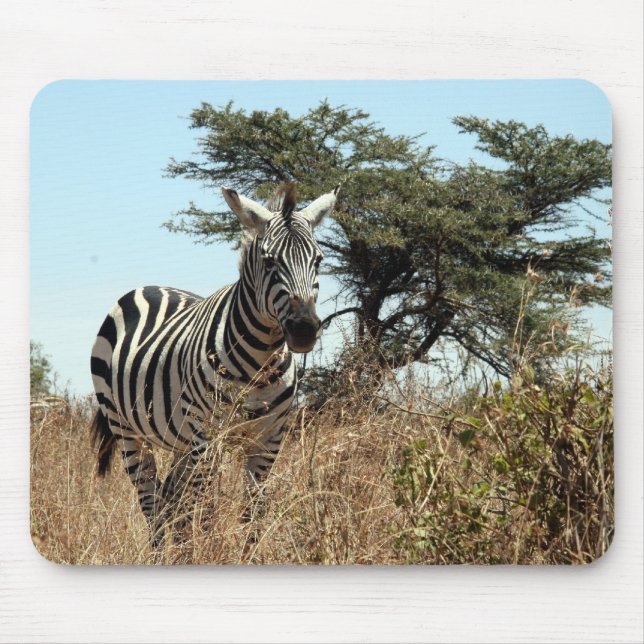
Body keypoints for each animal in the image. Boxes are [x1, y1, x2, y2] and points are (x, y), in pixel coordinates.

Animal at [90, 182, 338, 544]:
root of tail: (148, 287)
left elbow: (251, 514)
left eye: (318, 260)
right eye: (269, 261)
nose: (304, 328)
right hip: (126, 429)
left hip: (181, 439)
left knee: (170, 500)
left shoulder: (268, 441)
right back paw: (161, 550)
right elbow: (206, 513)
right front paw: (207, 551)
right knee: (151, 501)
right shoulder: (208, 439)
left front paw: (246, 552)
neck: (260, 365)